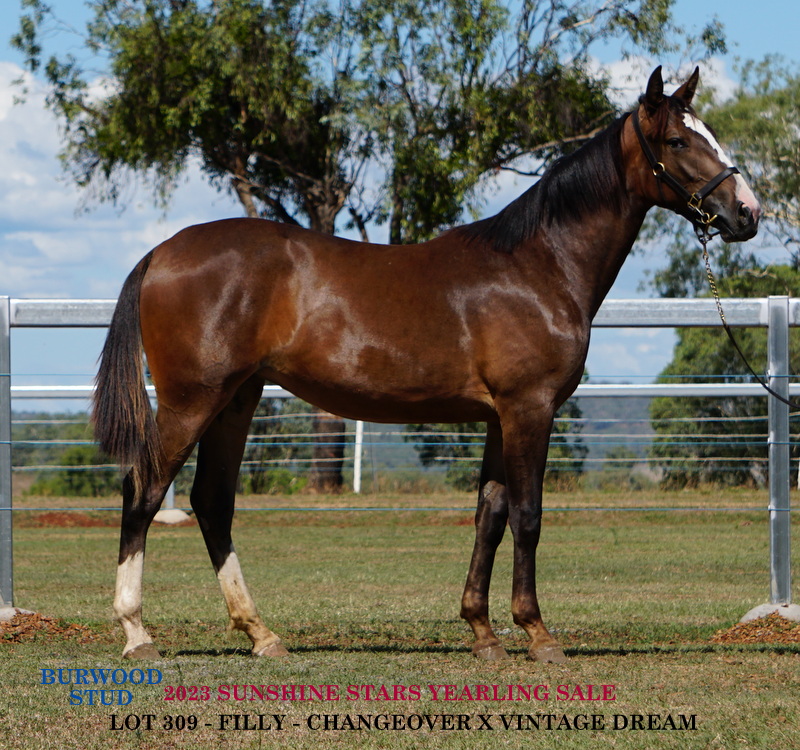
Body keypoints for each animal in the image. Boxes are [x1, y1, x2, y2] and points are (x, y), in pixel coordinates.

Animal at [94, 66, 760, 661]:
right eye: (678, 141)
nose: (748, 212)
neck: (538, 265)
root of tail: (161, 252)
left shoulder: (499, 418)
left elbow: (490, 515)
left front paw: (484, 633)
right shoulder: (529, 409)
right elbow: (528, 515)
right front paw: (537, 634)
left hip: (237, 399)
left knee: (212, 502)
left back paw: (262, 634)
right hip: (192, 401)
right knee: (143, 491)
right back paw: (137, 633)